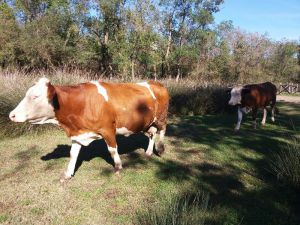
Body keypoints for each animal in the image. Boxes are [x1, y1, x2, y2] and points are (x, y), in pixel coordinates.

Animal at [8, 77, 169, 181]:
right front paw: (67, 174)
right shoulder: (78, 134)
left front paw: (118, 168)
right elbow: (73, 154)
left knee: (162, 130)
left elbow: (112, 150)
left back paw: (160, 149)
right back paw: (148, 152)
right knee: (152, 134)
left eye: (35, 96)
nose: (12, 115)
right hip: (148, 122)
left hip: (161, 117)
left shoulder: (108, 129)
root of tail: (155, 83)